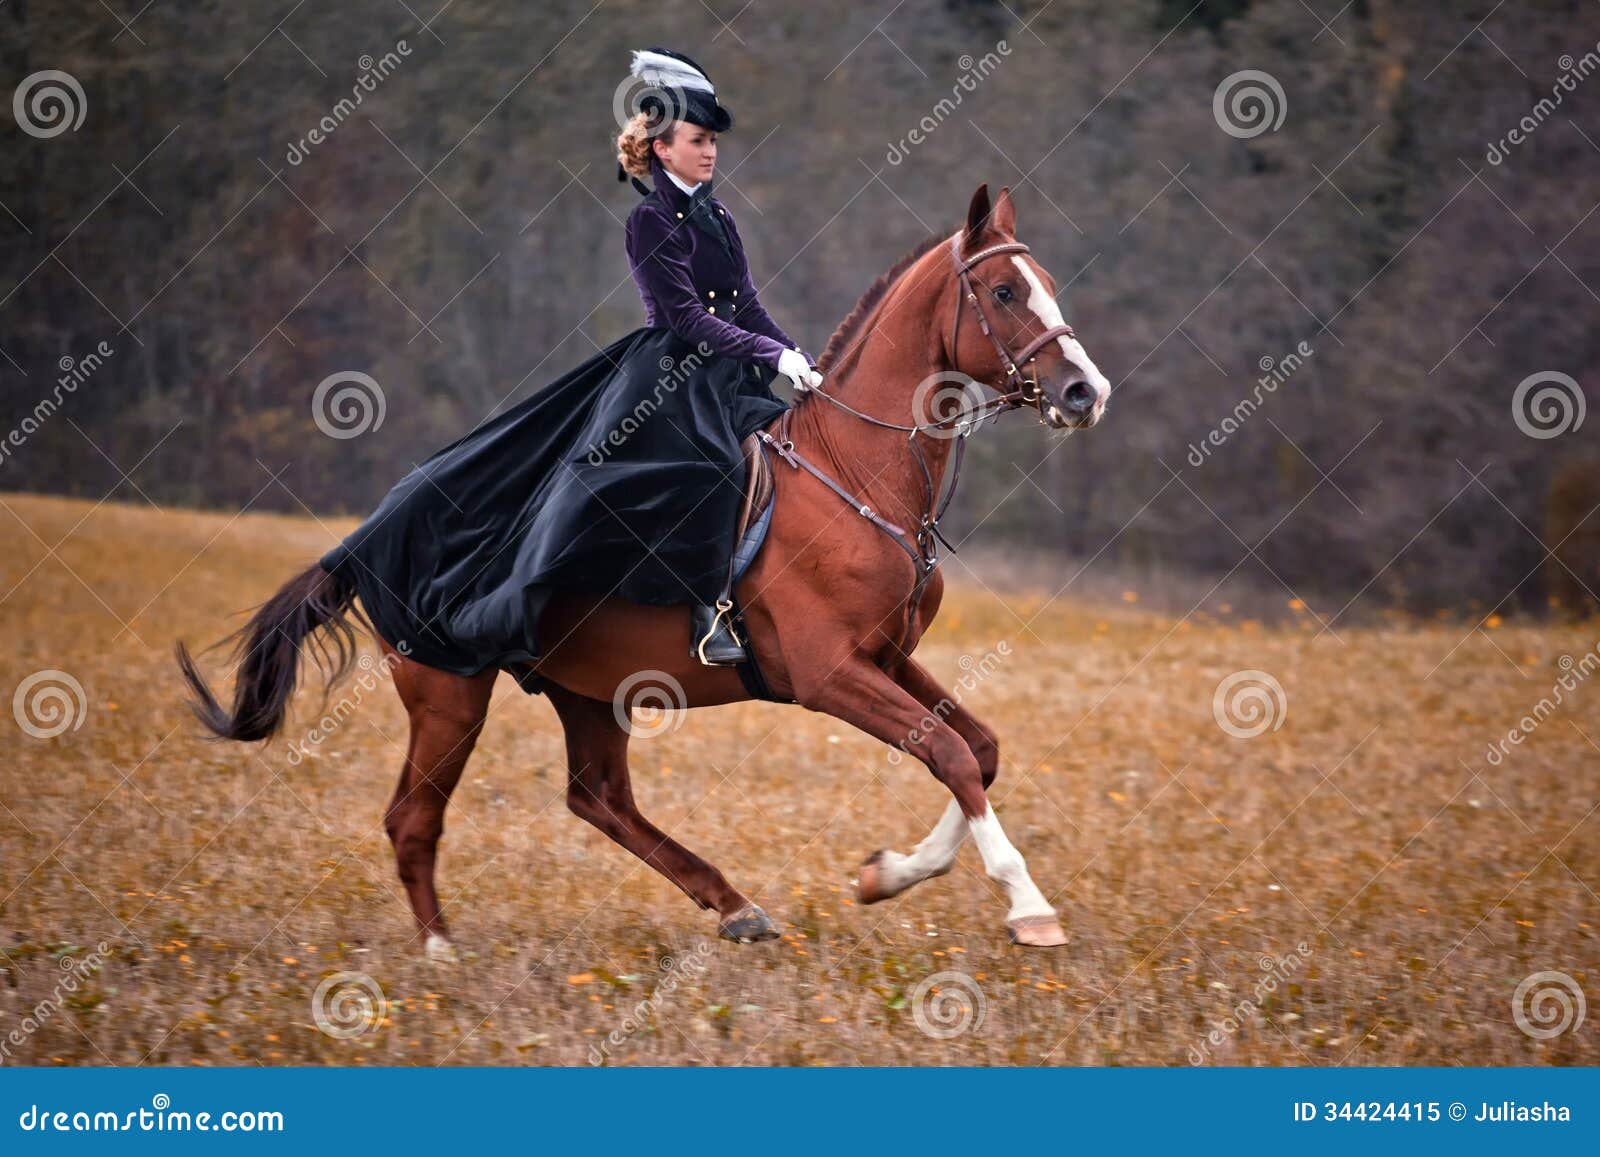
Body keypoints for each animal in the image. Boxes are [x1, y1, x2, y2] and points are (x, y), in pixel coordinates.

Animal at [168, 183, 1107, 960]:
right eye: (1004, 292)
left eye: (1045, 281)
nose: (1084, 392)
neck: (853, 470)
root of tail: (364, 539)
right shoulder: (829, 672)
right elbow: (949, 752)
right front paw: (1027, 907)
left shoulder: (884, 656)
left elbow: (977, 750)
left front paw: (889, 873)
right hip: (450, 692)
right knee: (414, 817)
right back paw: (440, 951)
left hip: (588, 687)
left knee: (599, 797)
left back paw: (734, 906)